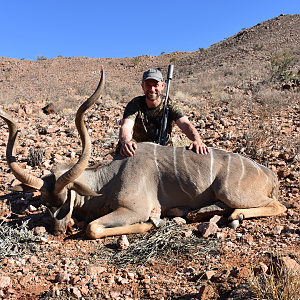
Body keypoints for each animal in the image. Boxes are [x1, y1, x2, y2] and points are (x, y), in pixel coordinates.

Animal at [0, 69, 286, 239]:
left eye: (66, 200)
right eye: (45, 204)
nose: (58, 231)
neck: (109, 178)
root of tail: (270, 175)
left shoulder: (134, 209)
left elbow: (93, 227)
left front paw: (153, 223)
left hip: (230, 191)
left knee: (276, 206)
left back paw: (235, 216)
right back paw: (198, 214)